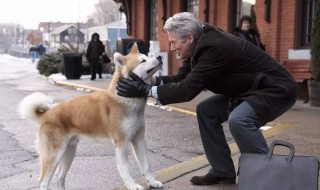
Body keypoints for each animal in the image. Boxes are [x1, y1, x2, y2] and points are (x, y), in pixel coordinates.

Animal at [17, 43, 162, 190]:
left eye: (146, 56)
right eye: (143, 61)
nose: (159, 57)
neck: (126, 99)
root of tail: (46, 114)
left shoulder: (139, 139)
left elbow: (146, 166)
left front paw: (152, 181)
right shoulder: (121, 143)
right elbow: (126, 170)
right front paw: (132, 185)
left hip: (69, 151)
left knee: (60, 177)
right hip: (54, 154)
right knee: (43, 181)